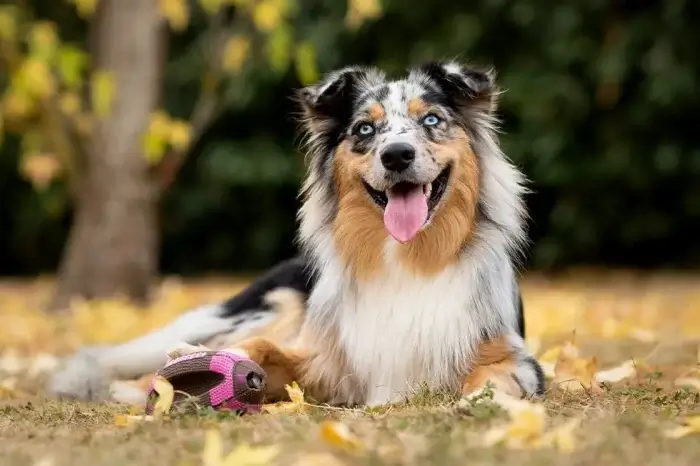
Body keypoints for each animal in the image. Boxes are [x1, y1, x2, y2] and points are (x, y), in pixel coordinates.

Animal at [47, 61, 548, 408]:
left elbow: (497, 376)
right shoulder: (322, 360)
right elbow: (263, 351)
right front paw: (195, 367)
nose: (397, 155)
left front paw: (484, 401)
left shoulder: (513, 356)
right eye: (365, 129)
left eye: (431, 121)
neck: (407, 259)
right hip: (272, 304)